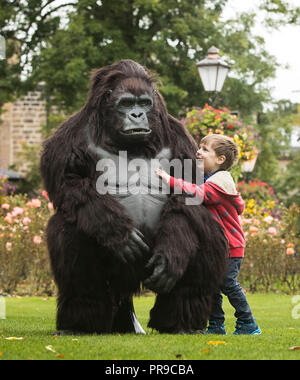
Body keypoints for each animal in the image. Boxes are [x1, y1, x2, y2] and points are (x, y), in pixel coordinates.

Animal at [40, 58, 227, 334]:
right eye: (127, 103)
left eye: (144, 103)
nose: (137, 115)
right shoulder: (69, 135)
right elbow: (72, 186)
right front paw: (118, 233)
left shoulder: (180, 136)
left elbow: (186, 198)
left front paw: (172, 251)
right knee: (71, 228)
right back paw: (80, 321)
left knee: (202, 228)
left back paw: (180, 322)